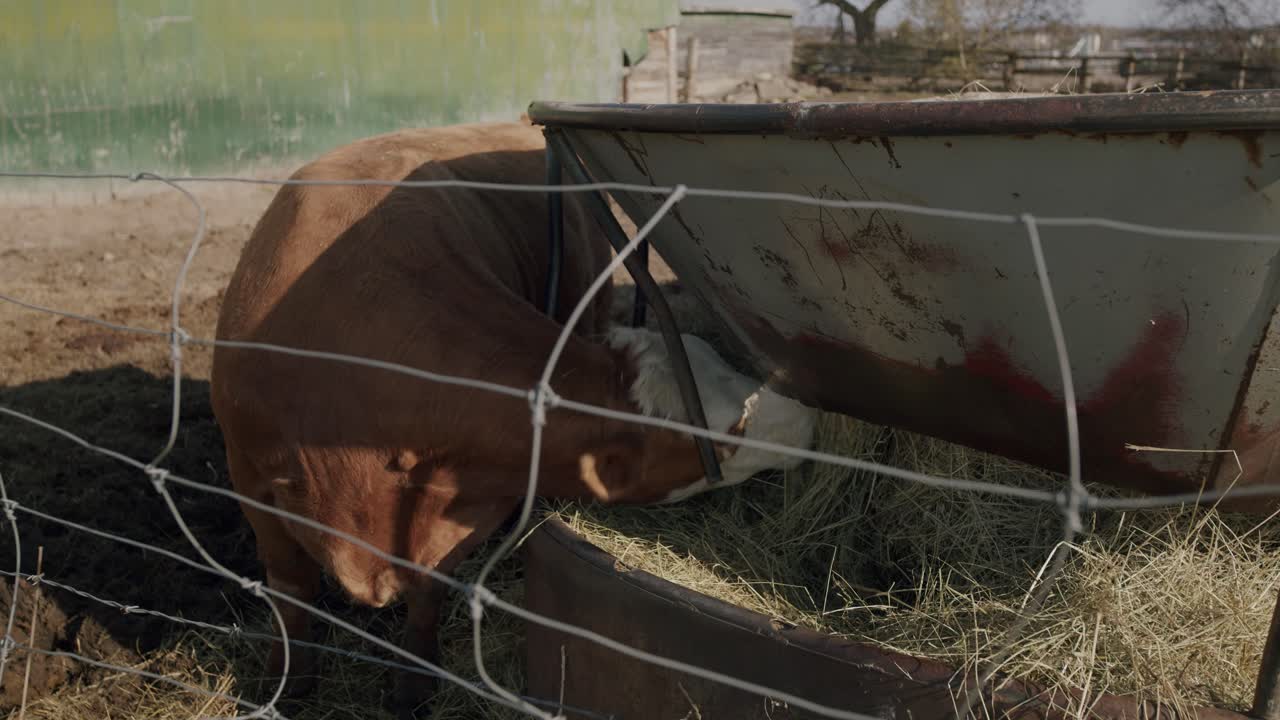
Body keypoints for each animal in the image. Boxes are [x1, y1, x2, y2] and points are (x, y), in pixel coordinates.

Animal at [209, 120, 817, 718]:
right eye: (725, 430)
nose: (806, 416)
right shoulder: (250, 478)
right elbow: (291, 589)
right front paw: (287, 683)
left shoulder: (469, 501)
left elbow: (428, 590)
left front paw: (413, 686)